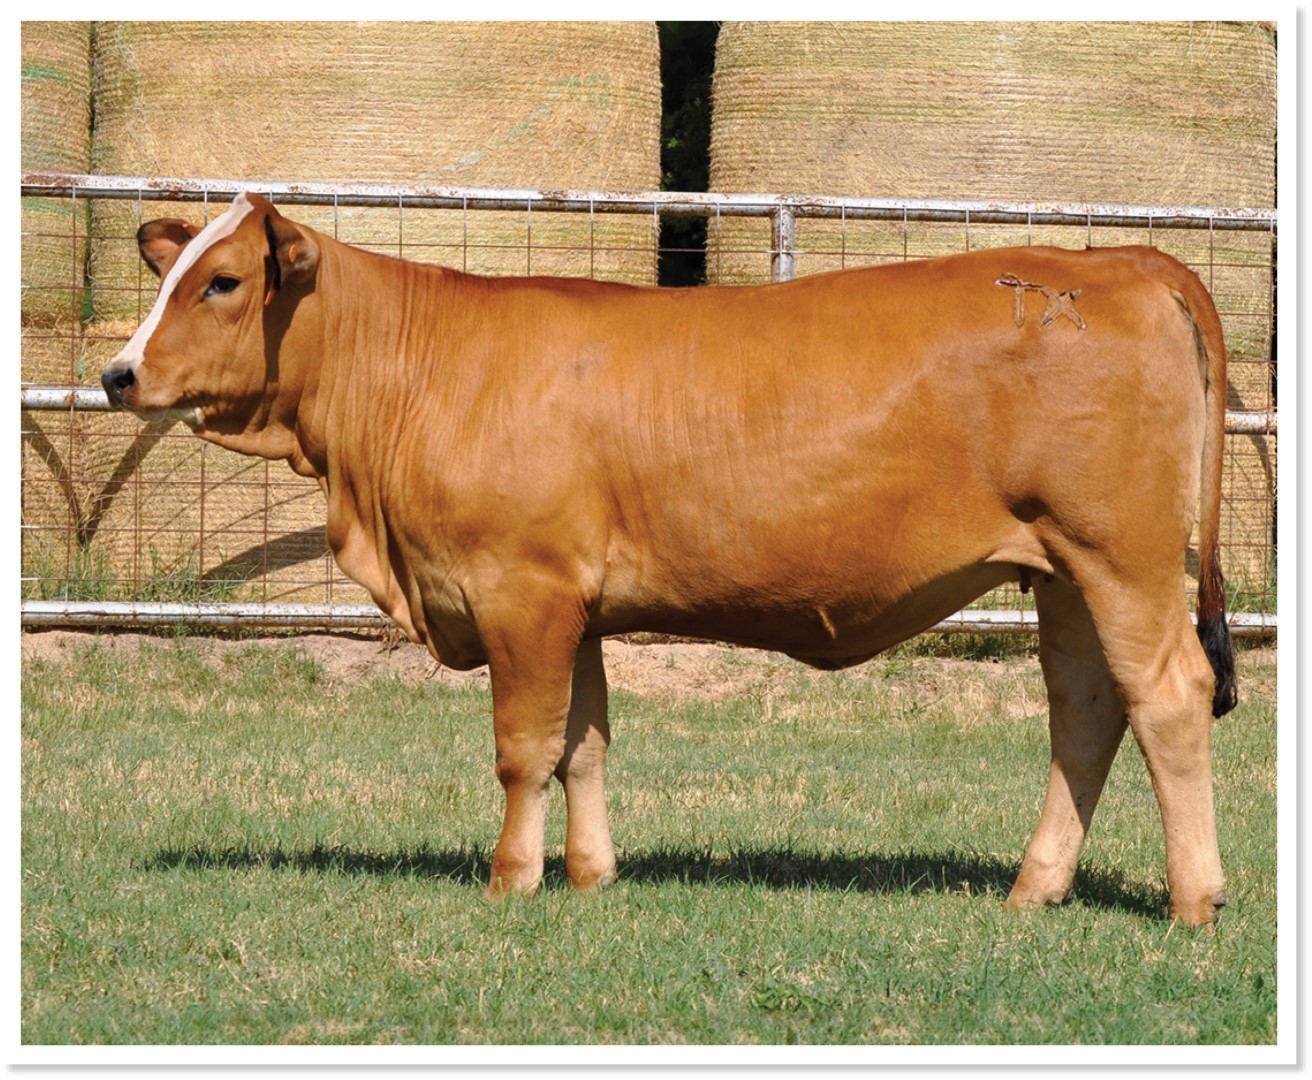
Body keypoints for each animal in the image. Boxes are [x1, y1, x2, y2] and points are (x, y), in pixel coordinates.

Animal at [101, 191, 1238, 925]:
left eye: (223, 281)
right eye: (169, 274)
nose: (115, 374)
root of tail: (1111, 260)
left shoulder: (521, 592)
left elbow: (524, 749)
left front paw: (510, 880)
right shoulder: (577, 606)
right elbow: (585, 744)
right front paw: (591, 876)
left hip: (1121, 559)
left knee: (1169, 696)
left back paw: (1194, 902)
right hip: (1063, 576)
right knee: (1088, 713)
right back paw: (1033, 889)